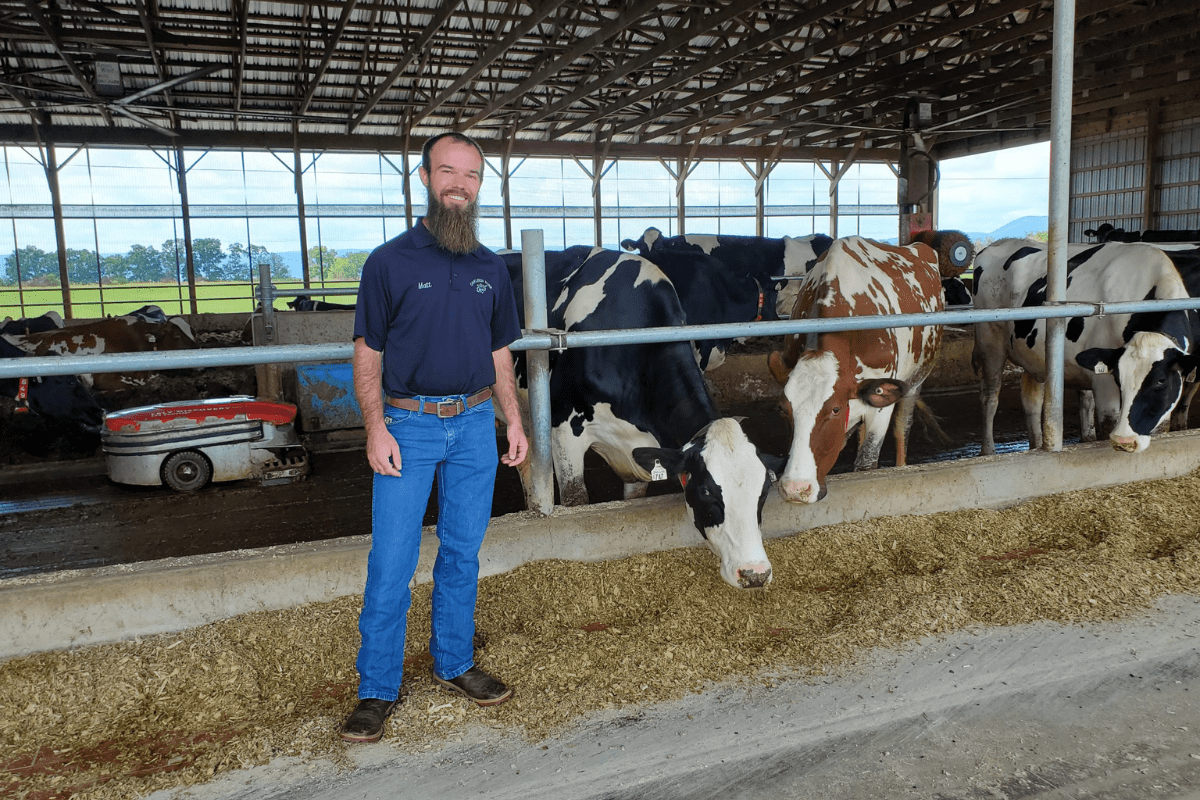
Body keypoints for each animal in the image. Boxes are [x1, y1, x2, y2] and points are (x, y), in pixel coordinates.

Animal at [768, 235, 945, 503]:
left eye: (835, 409)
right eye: (782, 409)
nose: (796, 489)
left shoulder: (880, 406)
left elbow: (866, 462)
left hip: (915, 381)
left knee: (902, 427)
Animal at [969, 237, 1195, 455]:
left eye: (1161, 381)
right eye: (1118, 378)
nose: (1126, 441)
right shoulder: (1104, 384)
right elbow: (1107, 424)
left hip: (1034, 356)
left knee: (1032, 401)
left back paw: (1036, 445)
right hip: (990, 341)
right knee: (990, 397)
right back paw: (988, 450)